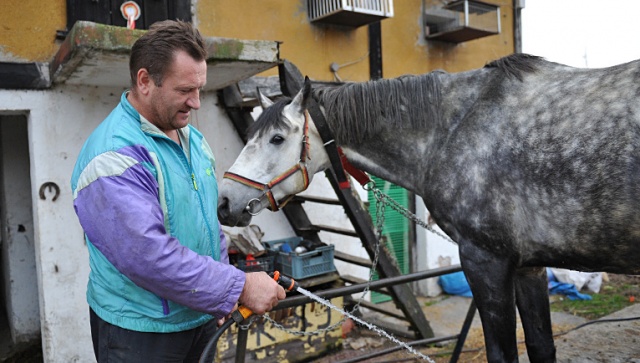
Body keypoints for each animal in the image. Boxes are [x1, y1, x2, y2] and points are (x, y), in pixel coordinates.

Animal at [219, 54, 640, 363]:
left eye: (276, 138)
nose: (224, 201)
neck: (453, 128)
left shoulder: (486, 261)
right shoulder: (528, 267)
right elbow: (541, 347)